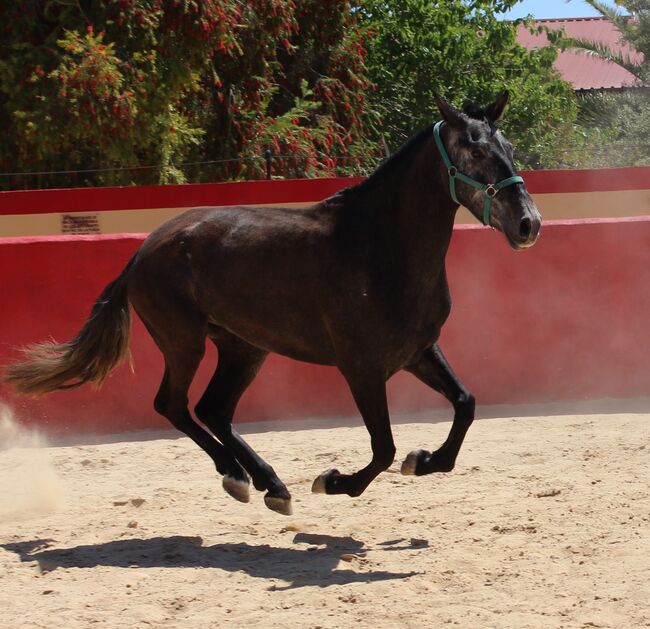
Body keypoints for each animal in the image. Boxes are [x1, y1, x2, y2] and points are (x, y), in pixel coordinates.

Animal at [7, 93, 540, 516]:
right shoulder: (361, 367)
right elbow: (383, 448)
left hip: (244, 348)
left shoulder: (418, 352)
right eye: (474, 148)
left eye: (510, 148)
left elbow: (465, 405)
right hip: (184, 342)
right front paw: (334, 481)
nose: (528, 223)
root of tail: (142, 250)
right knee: (174, 404)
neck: (381, 246)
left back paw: (267, 484)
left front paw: (424, 460)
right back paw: (241, 476)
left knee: (214, 409)